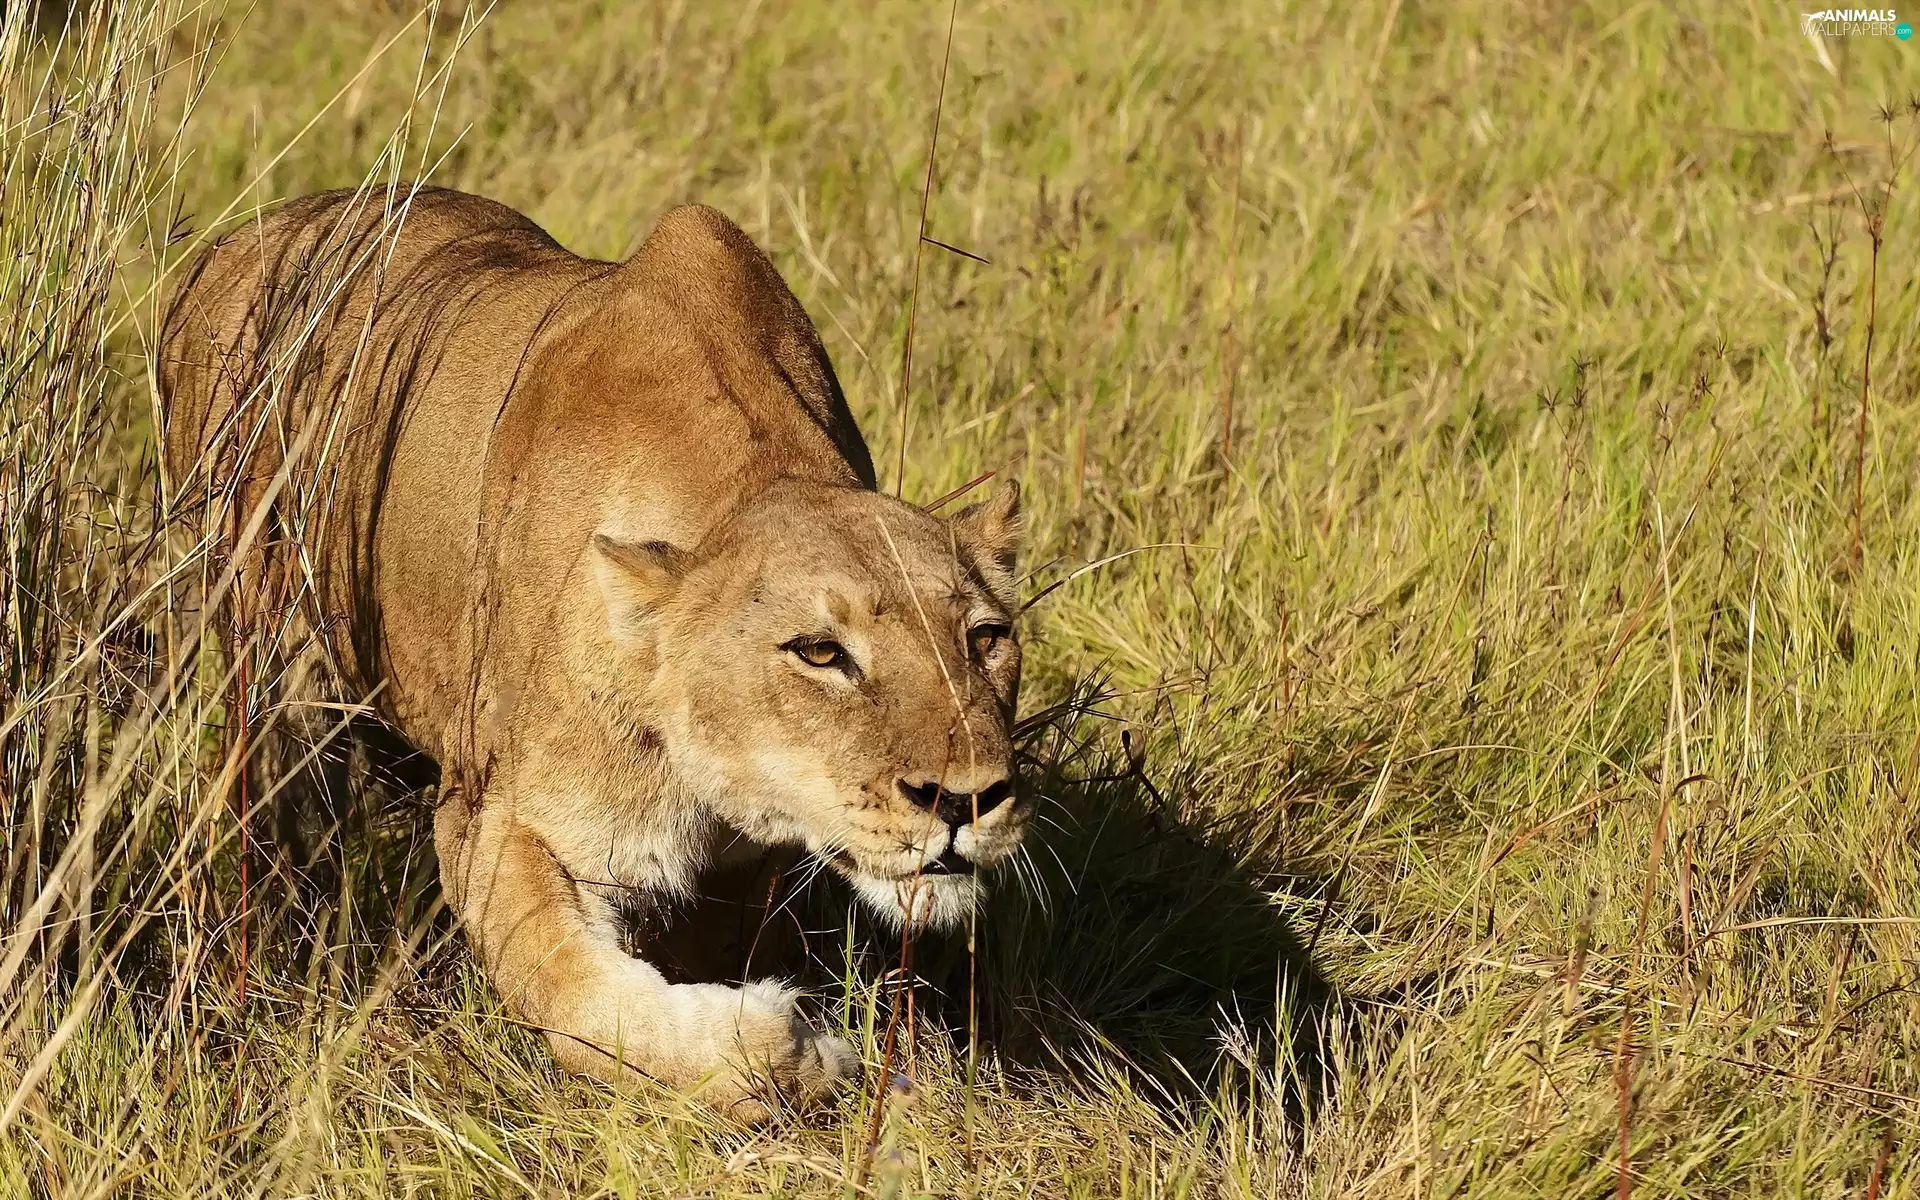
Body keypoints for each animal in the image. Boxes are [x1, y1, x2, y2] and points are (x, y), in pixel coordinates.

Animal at [157, 186, 1028, 1115]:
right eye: (822, 654)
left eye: (987, 638)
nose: (968, 801)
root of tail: (236, 240)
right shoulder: (494, 818)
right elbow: (576, 994)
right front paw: (788, 1054)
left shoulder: (741, 872)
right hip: (271, 672)